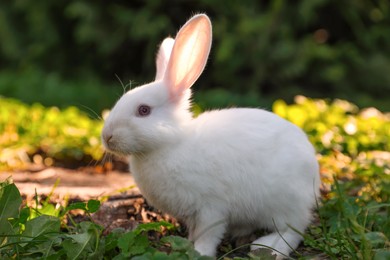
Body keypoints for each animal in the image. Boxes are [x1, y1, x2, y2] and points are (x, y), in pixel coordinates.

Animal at [103, 14, 320, 260]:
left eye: (143, 110)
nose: (107, 136)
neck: (171, 144)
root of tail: (313, 174)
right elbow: (195, 232)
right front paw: (187, 244)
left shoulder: (211, 207)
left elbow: (208, 234)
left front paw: (200, 252)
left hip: (283, 202)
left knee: (293, 229)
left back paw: (266, 246)